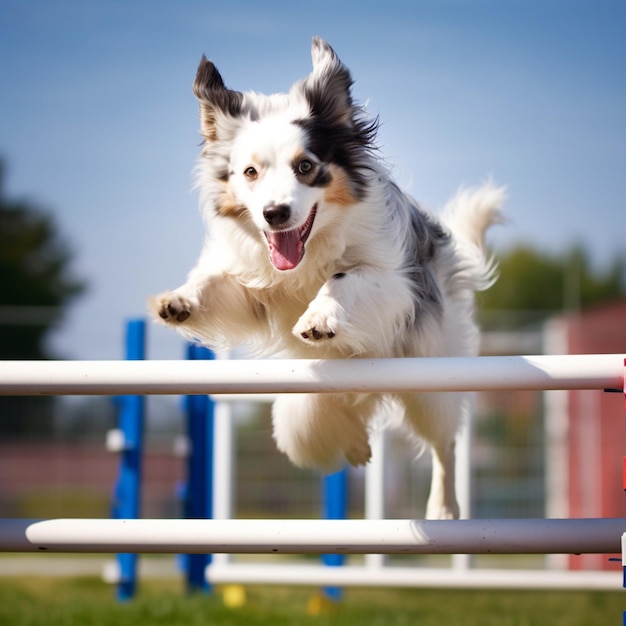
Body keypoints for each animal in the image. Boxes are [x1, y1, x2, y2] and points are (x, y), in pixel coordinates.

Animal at [150, 36, 502, 520]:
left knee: (444, 443)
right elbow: (213, 283)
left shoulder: (394, 281)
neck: (308, 251)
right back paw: (354, 445)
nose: (274, 213)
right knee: (322, 420)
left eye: (305, 167)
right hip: (314, 397)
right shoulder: (251, 287)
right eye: (250, 172)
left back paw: (444, 508)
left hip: (431, 375)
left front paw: (319, 319)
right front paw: (179, 302)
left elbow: (343, 278)